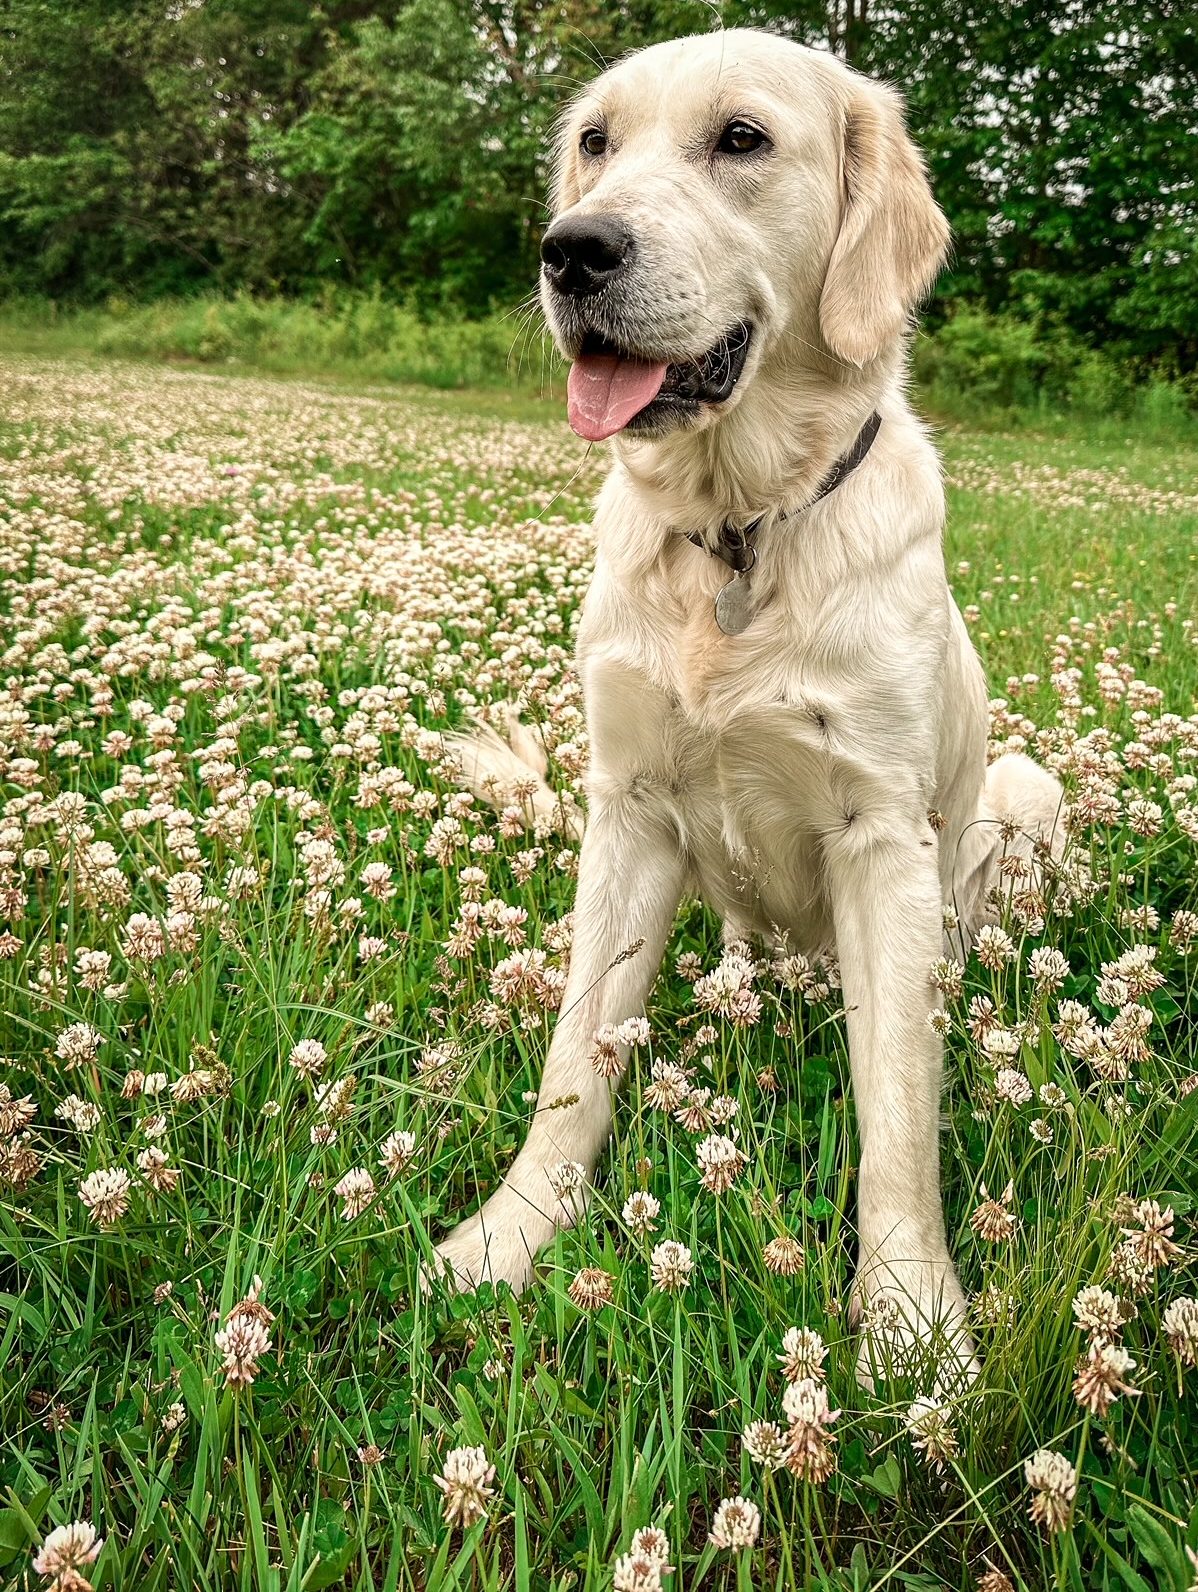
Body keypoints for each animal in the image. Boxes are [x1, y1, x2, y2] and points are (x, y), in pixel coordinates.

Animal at [432, 31, 1062, 1388]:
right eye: (596, 141)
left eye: (741, 139)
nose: (573, 249)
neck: (735, 528)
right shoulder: (625, 807)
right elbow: (572, 1062)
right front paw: (510, 1233)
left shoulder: (881, 834)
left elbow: (897, 1115)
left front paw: (912, 1320)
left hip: (1017, 796)